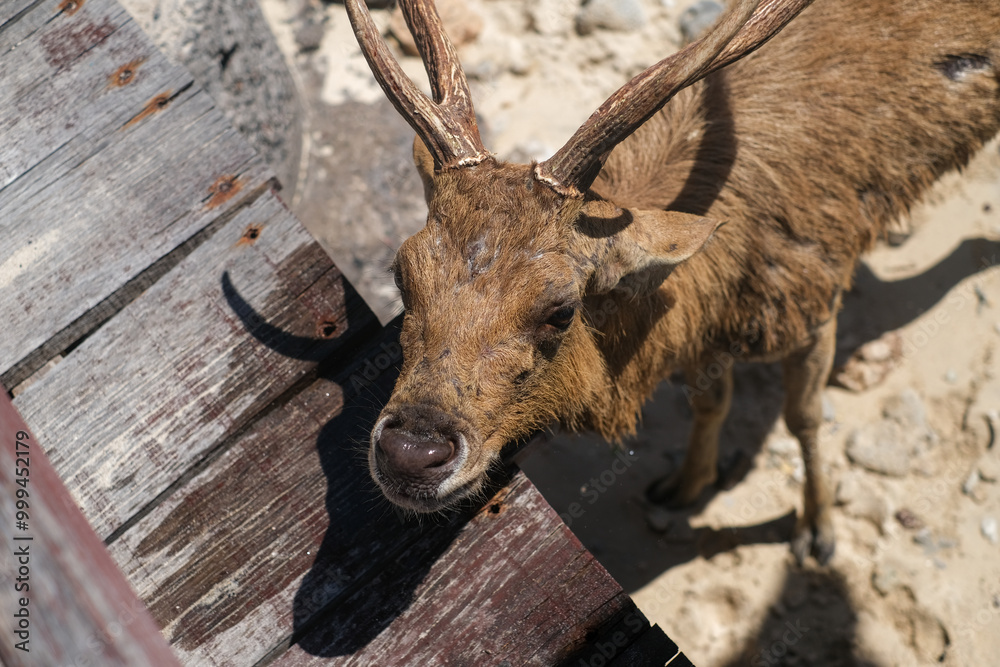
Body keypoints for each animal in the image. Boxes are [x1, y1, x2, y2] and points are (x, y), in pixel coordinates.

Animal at [343, 0, 1000, 564]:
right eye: (402, 275)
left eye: (561, 309)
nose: (411, 452)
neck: (722, 289)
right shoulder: (707, 337)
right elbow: (711, 399)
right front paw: (685, 485)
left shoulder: (813, 299)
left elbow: (805, 419)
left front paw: (818, 533)